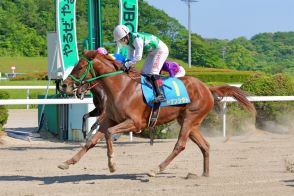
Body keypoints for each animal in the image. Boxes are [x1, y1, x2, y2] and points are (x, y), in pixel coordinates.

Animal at [59, 49, 255, 177]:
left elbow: (108, 133)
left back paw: (157, 169)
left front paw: (112, 164)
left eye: (80, 66)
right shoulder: (110, 119)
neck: (121, 88)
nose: (64, 85)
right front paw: (67, 162)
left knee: (180, 145)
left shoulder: (135, 123)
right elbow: (92, 141)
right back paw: (204, 174)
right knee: (205, 145)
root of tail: (207, 87)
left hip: (190, 119)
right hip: (189, 122)